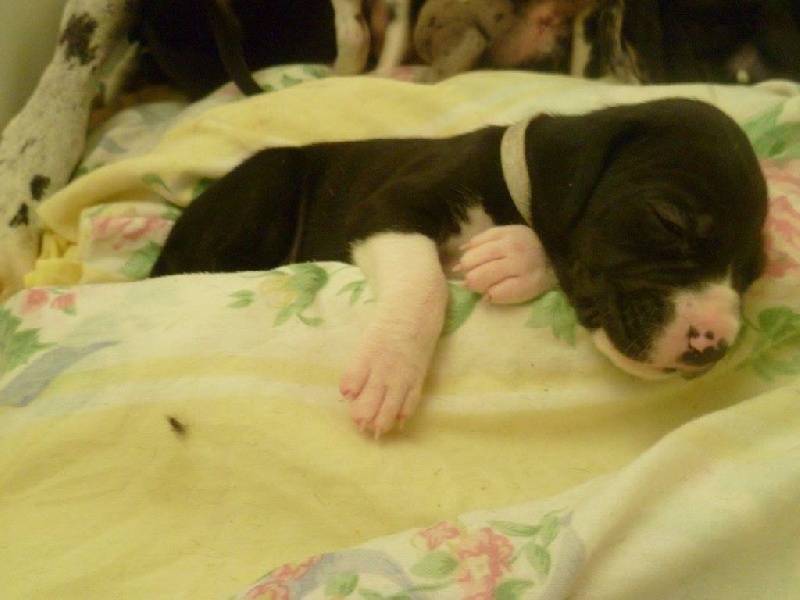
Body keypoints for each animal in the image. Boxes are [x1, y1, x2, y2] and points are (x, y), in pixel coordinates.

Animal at [150, 98, 768, 437]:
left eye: (752, 274)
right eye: (669, 220)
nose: (713, 345)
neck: (515, 183)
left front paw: (512, 257)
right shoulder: (386, 210)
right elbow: (426, 286)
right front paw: (389, 372)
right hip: (269, 185)